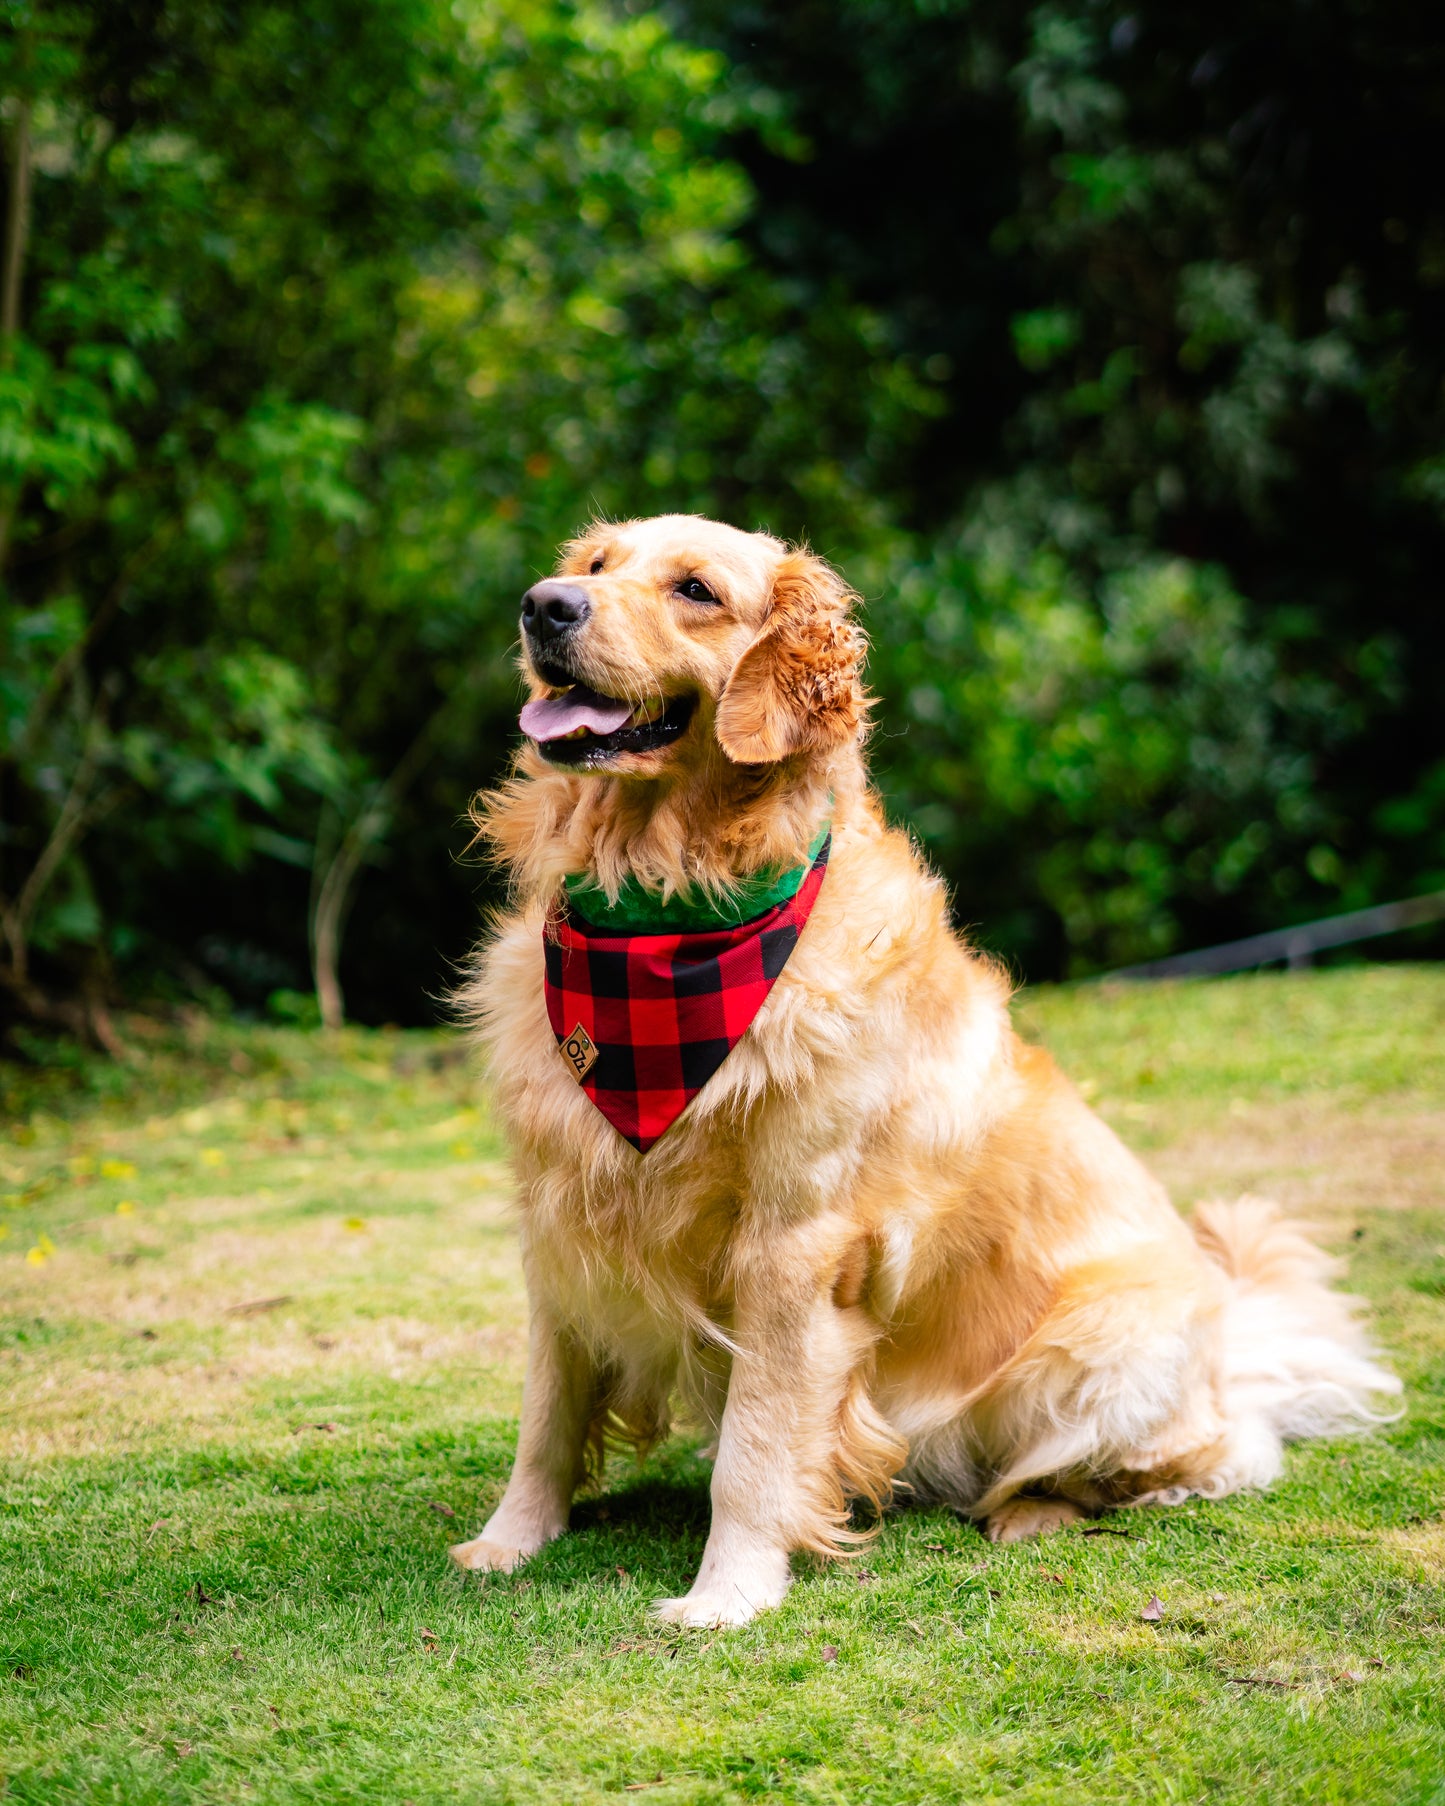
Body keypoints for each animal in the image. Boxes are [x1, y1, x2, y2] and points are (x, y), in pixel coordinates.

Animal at [455, 516, 1401, 1632]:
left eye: (694, 590)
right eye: (598, 567)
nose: (543, 605)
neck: (669, 905)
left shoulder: (793, 1244)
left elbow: (755, 1448)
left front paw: (728, 1593)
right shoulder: (561, 1217)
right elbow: (547, 1414)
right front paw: (510, 1541)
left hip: (1104, 1345)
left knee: (1210, 1459)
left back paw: (1031, 1509)